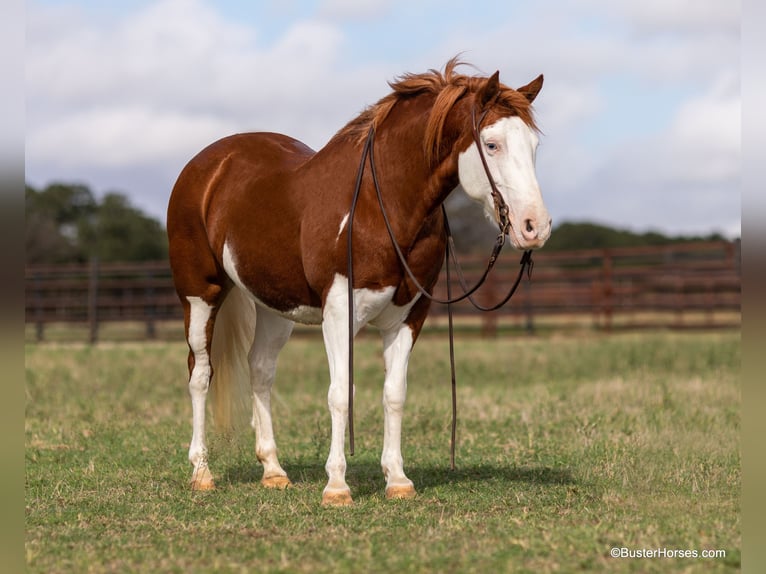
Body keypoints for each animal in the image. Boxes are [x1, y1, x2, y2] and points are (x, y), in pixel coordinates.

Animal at [168, 58, 552, 506]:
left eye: (533, 146)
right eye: (492, 145)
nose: (535, 227)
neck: (381, 202)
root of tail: (207, 165)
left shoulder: (409, 316)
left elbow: (394, 394)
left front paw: (397, 479)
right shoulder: (339, 315)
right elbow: (341, 394)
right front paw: (336, 486)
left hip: (274, 307)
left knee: (260, 371)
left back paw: (274, 470)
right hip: (200, 295)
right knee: (200, 373)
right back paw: (201, 471)